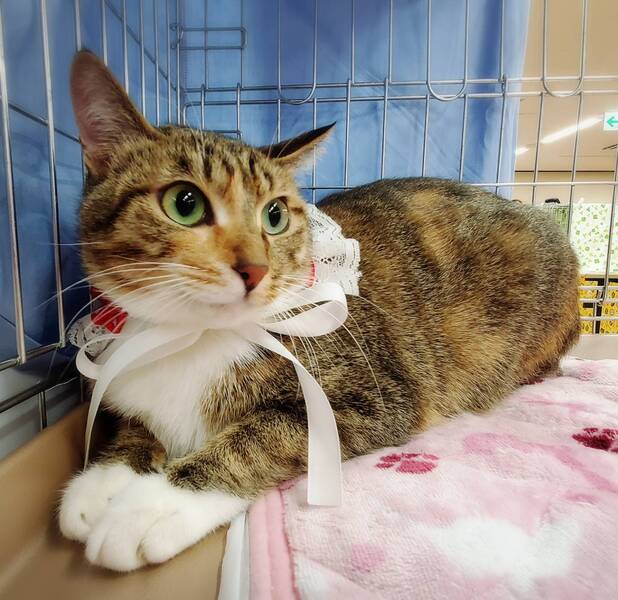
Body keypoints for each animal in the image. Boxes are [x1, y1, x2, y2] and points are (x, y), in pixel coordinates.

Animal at [59, 50, 580, 572]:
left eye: (274, 215)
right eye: (184, 203)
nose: (255, 268)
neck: (189, 335)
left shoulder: (376, 397)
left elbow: (261, 437)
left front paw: (152, 507)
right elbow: (135, 423)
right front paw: (102, 482)